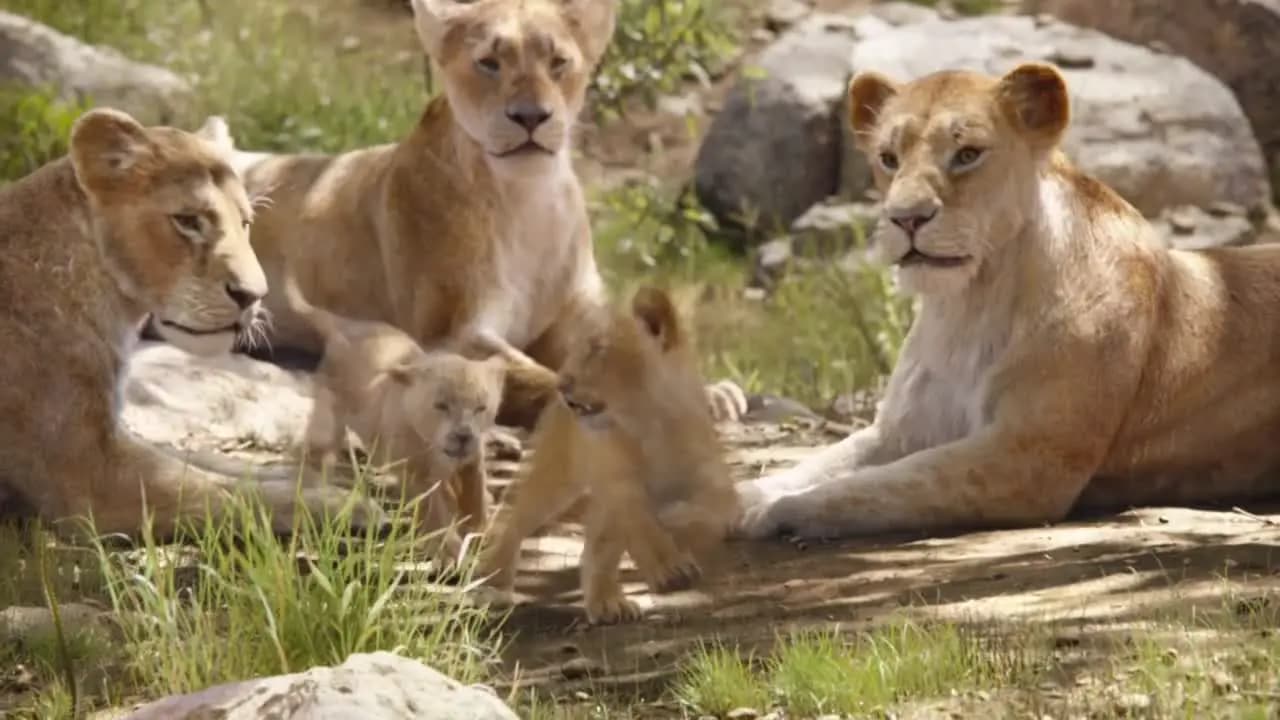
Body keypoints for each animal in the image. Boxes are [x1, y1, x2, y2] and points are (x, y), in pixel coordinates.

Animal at [0, 108, 383, 540]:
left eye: (245, 223)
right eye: (188, 221)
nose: (254, 295)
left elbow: (208, 464)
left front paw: (316, 478)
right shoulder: (92, 479)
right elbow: (228, 494)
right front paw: (344, 505)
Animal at [220, 0, 747, 428]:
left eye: (558, 62)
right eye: (489, 63)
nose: (531, 116)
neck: (528, 199)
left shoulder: (575, 310)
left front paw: (711, 393)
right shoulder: (449, 333)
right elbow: (533, 374)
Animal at [282, 270, 505, 562]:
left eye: (481, 408)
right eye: (441, 405)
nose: (463, 435)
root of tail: (348, 326)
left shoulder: (472, 461)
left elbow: (474, 495)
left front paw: (479, 527)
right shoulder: (418, 475)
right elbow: (435, 512)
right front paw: (450, 550)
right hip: (329, 418)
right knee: (317, 447)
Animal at [475, 286, 739, 624]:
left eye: (597, 349)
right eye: (577, 350)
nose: (562, 383)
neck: (651, 422)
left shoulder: (713, 482)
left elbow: (709, 516)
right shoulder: (617, 479)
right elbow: (637, 519)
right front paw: (668, 566)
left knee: (595, 545)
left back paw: (607, 601)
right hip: (557, 472)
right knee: (516, 518)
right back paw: (494, 582)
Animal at [734, 62, 1280, 541]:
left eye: (967, 154)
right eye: (888, 158)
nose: (906, 218)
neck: (968, 306)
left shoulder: (1025, 459)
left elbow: (886, 483)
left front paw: (776, 511)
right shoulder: (901, 430)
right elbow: (824, 463)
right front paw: (748, 496)